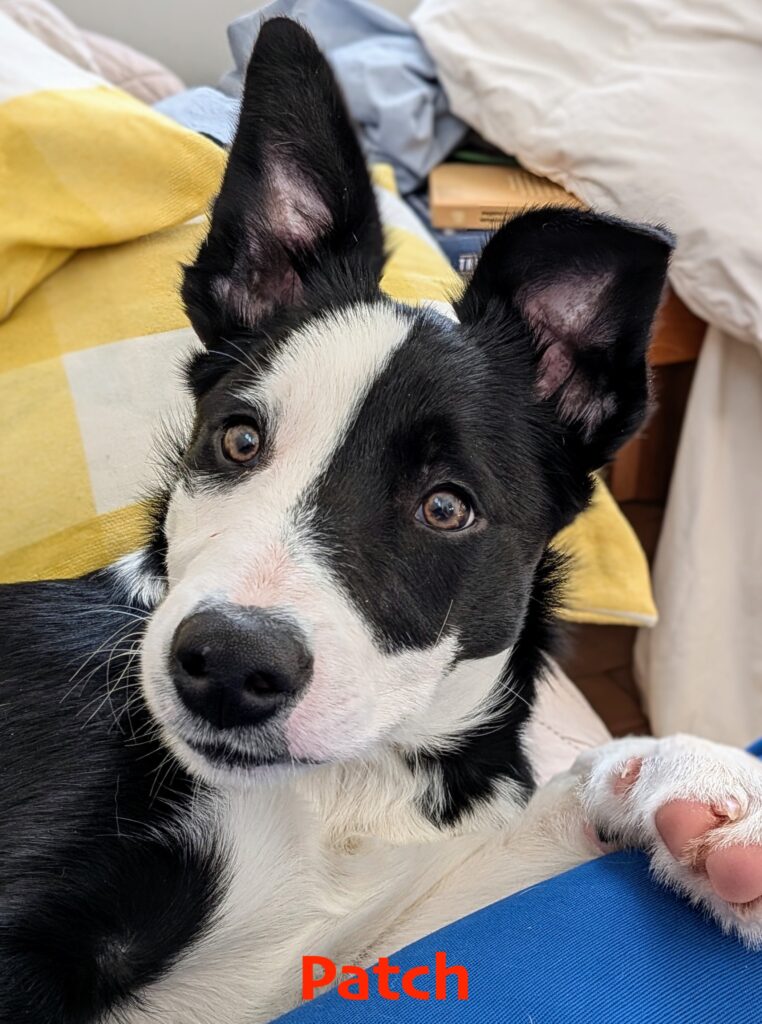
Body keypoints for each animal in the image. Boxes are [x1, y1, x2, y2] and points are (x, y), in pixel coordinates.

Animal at [1, 17, 761, 1024]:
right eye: (237, 440)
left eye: (446, 506)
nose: (227, 666)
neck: (340, 791)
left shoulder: (365, 940)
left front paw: (697, 786)